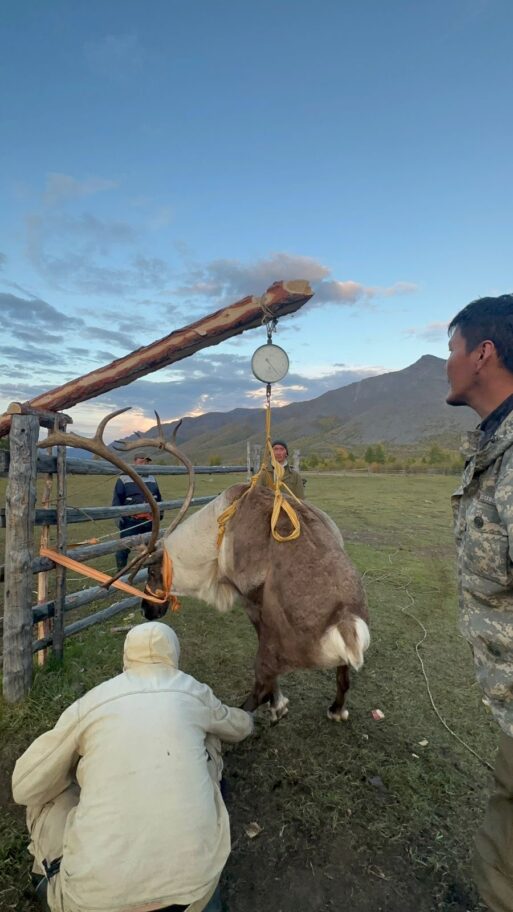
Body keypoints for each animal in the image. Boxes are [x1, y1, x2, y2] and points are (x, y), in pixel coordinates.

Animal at [42, 410, 370, 723]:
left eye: (152, 572)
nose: (146, 611)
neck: (213, 537)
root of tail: (345, 623)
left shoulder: (254, 605)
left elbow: (270, 681)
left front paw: (279, 706)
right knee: (344, 678)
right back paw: (336, 709)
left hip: (277, 645)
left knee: (262, 684)